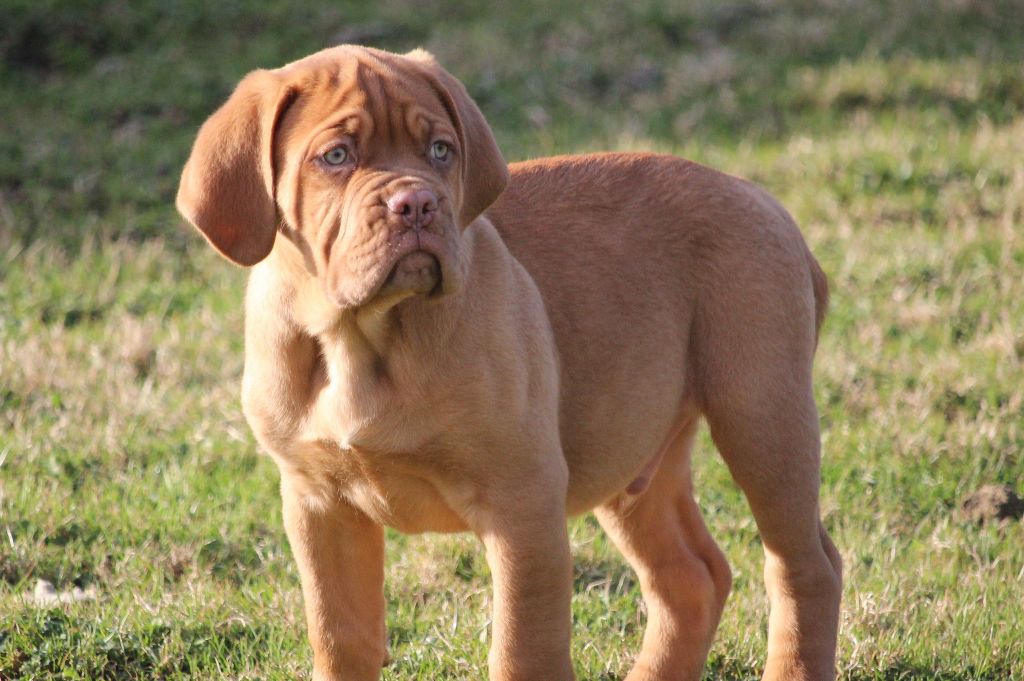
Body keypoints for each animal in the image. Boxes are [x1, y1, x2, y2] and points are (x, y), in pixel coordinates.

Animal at [178, 45, 839, 675]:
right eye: (336, 157)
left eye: (441, 150)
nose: (416, 203)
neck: (361, 337)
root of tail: (762, 200)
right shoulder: (317, 503)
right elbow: (341, 638)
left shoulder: (522, 501)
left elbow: (524, 648)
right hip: (630, 452)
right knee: (692, 575)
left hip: (760, 416)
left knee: (805, 565)